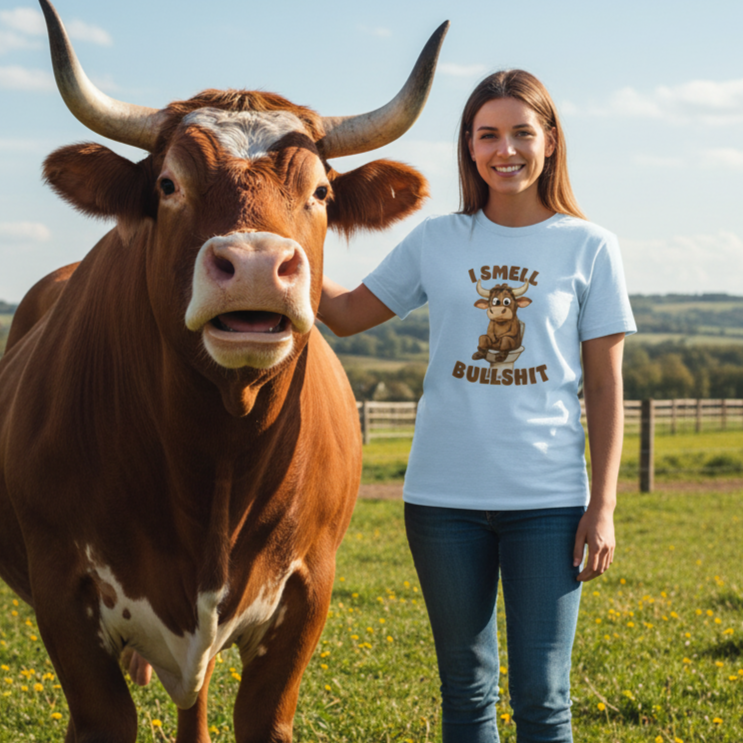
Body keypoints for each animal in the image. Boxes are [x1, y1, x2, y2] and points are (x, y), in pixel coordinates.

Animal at [0, 1, 448, 741]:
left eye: (320, 191)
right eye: (168, 184)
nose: (257, 264)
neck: (217, 456)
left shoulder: (306, 595)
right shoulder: (64, 596)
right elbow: (105, 715)